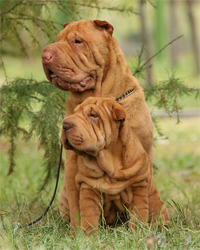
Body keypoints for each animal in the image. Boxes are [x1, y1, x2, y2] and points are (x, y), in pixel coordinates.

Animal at [61, 97, 170, 232]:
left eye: (93, 115)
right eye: (75, 112)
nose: (65, 125)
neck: (109, 164)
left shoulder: (138, 187)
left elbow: (139, 214)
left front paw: (137, 233)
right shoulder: (88, 188)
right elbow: (89, 216)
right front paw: (88, 235)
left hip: (157, 204)